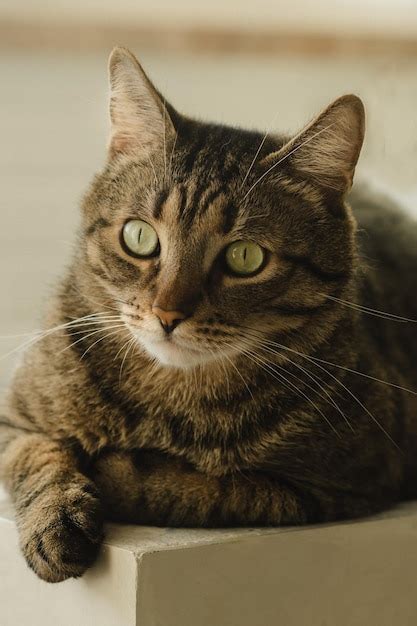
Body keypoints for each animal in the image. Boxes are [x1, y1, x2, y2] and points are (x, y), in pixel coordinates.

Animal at [0, 46, 416, 584]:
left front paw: (113, 472)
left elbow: (198, 487)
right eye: (139, 236)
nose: (167, 313)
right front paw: (59, 518)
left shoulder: (338, 485)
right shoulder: (13, 422)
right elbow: (38, 455)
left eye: (245, 258)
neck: (166, 399)